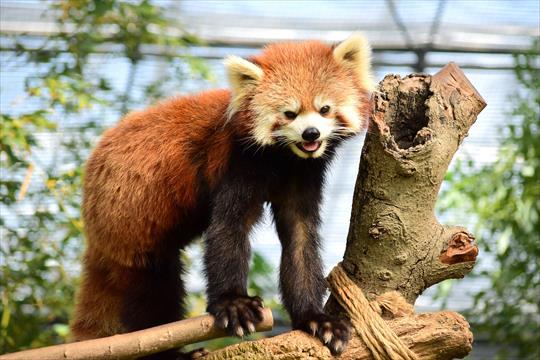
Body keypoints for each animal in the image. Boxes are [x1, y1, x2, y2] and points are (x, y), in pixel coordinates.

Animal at [71, 34, 374, 358]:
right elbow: (228, 227)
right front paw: (234, 303)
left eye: (325, 108)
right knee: (153, 292)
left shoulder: (303, 175)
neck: (283, 159)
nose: (311, 134)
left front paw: (315, 319)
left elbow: (299, 238)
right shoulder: (237, 161)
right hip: (130, 222)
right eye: (289, 114)